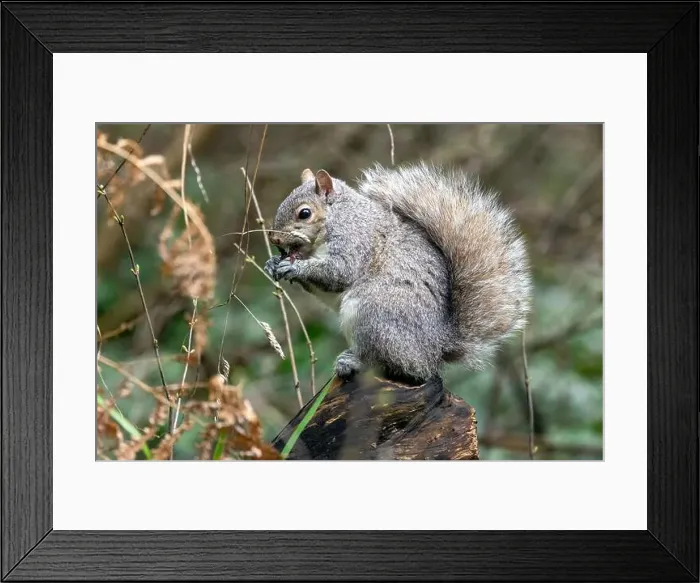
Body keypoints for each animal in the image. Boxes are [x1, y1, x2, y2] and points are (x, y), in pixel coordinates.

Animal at [264, 162, 532, 386]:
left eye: (304, 213)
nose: (274, 238)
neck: (339, 215)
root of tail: (436, 350)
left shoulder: (355, 240)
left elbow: (339, 272)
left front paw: (296, 267)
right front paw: (272, 264)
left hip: (374, 314)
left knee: (394, 365)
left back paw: (354, 362)